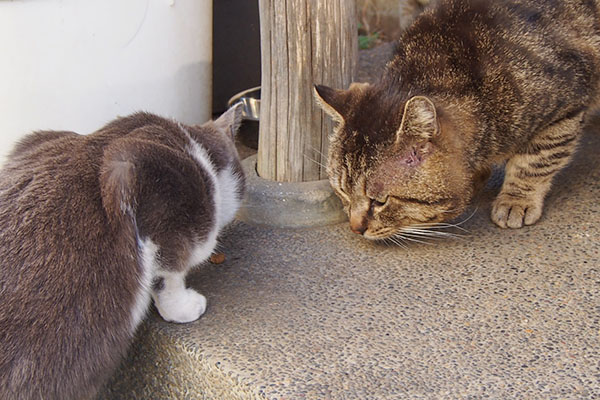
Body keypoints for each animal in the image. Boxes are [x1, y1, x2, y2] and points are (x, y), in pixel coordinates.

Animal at [316, 0, 596, 239]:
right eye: (342, 191)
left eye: (379, 201)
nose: (355, 228)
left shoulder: (566, 109)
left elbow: (535, 161)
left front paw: (516, 199)